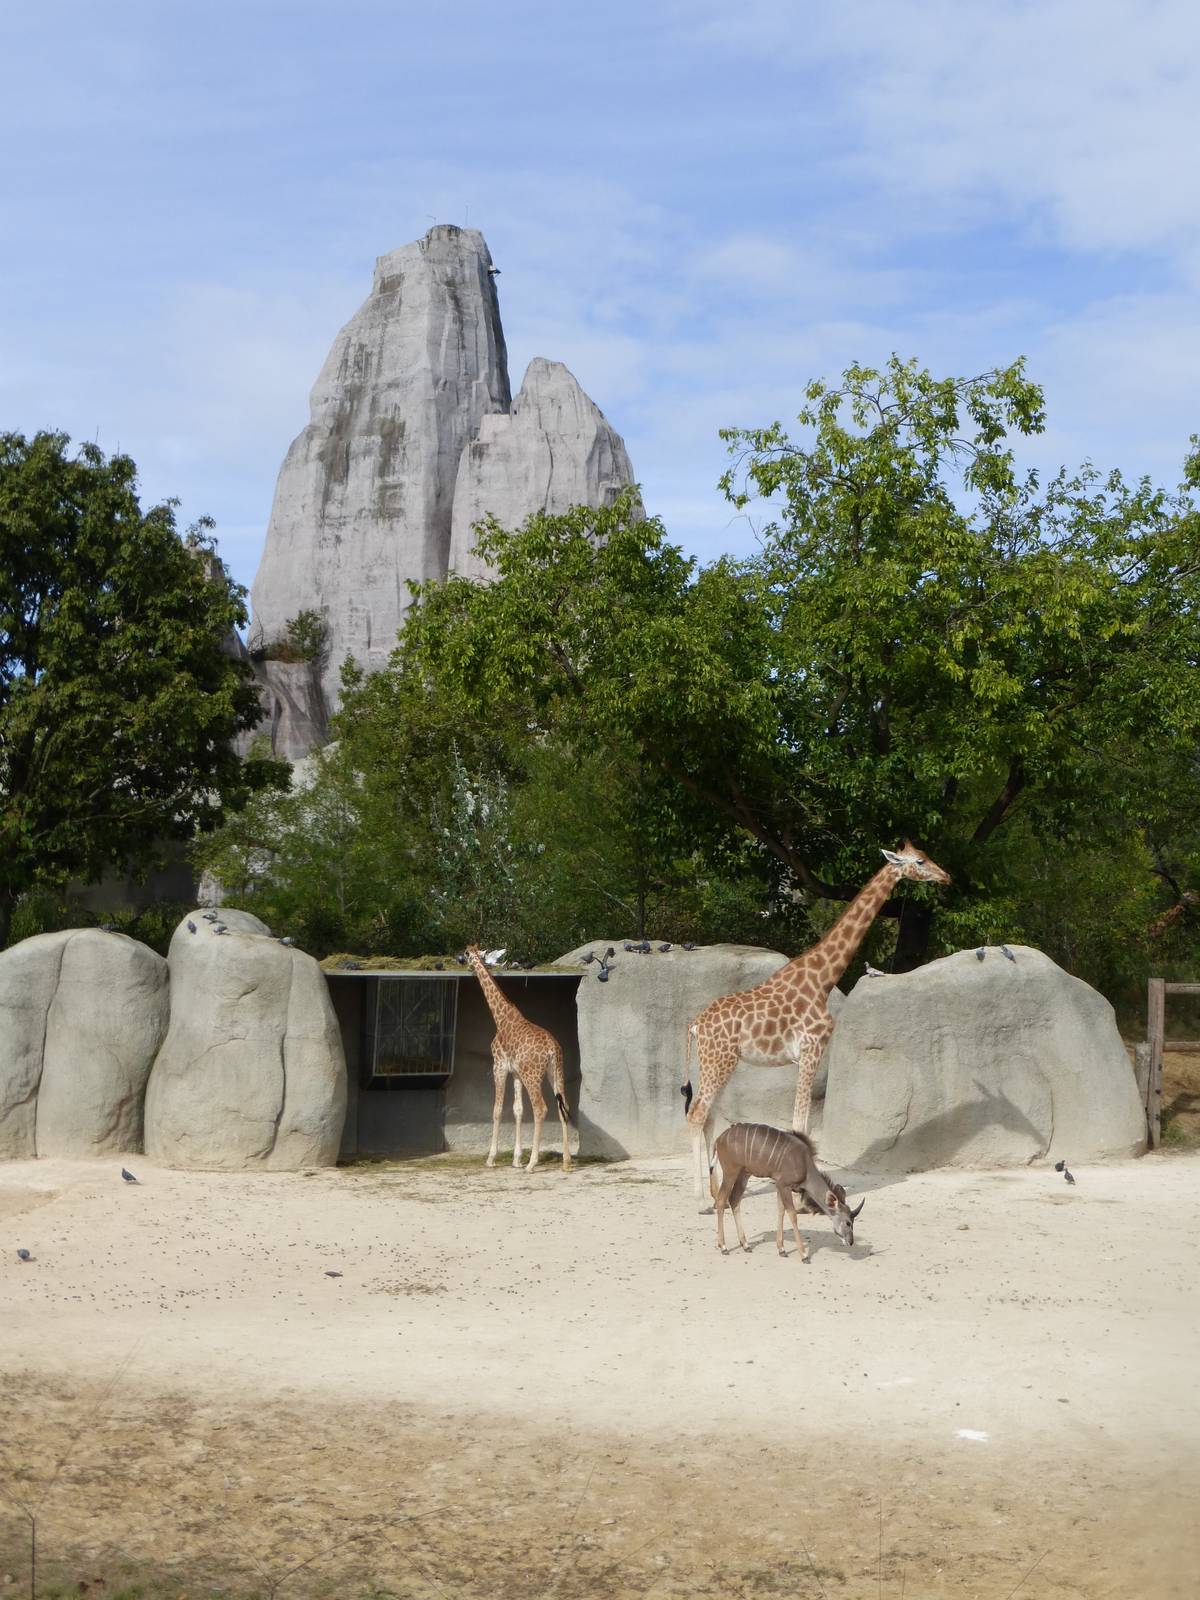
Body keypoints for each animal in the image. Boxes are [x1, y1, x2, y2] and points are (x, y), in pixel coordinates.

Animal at [465, 944, 572, 1172]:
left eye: (465, 953)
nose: (464, 964)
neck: (501, 1018)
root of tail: (552, 1049)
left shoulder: (499, 1066)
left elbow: (497, 1110)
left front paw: (491, 1159)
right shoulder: (515, 1072)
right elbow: (518, 1110)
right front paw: (515, 1159)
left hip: (533, 1076)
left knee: (540, 1108)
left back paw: (532, 1163)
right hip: (556, 1072)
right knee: (564, 1107)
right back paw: (567, 1162)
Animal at [682, 842, 951, 1197]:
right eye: (920, 861)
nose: (946, 876)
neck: (822, 979)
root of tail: (695, 1025)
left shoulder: (806, 1055)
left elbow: (801, 1124)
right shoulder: (811, 1050)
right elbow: (801, 1124)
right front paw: (805, 1186)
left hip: (723, 1061)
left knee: (709, 1115)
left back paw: (716, 1190)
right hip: (718, 1060)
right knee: (697, 1113)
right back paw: (699, 1195)